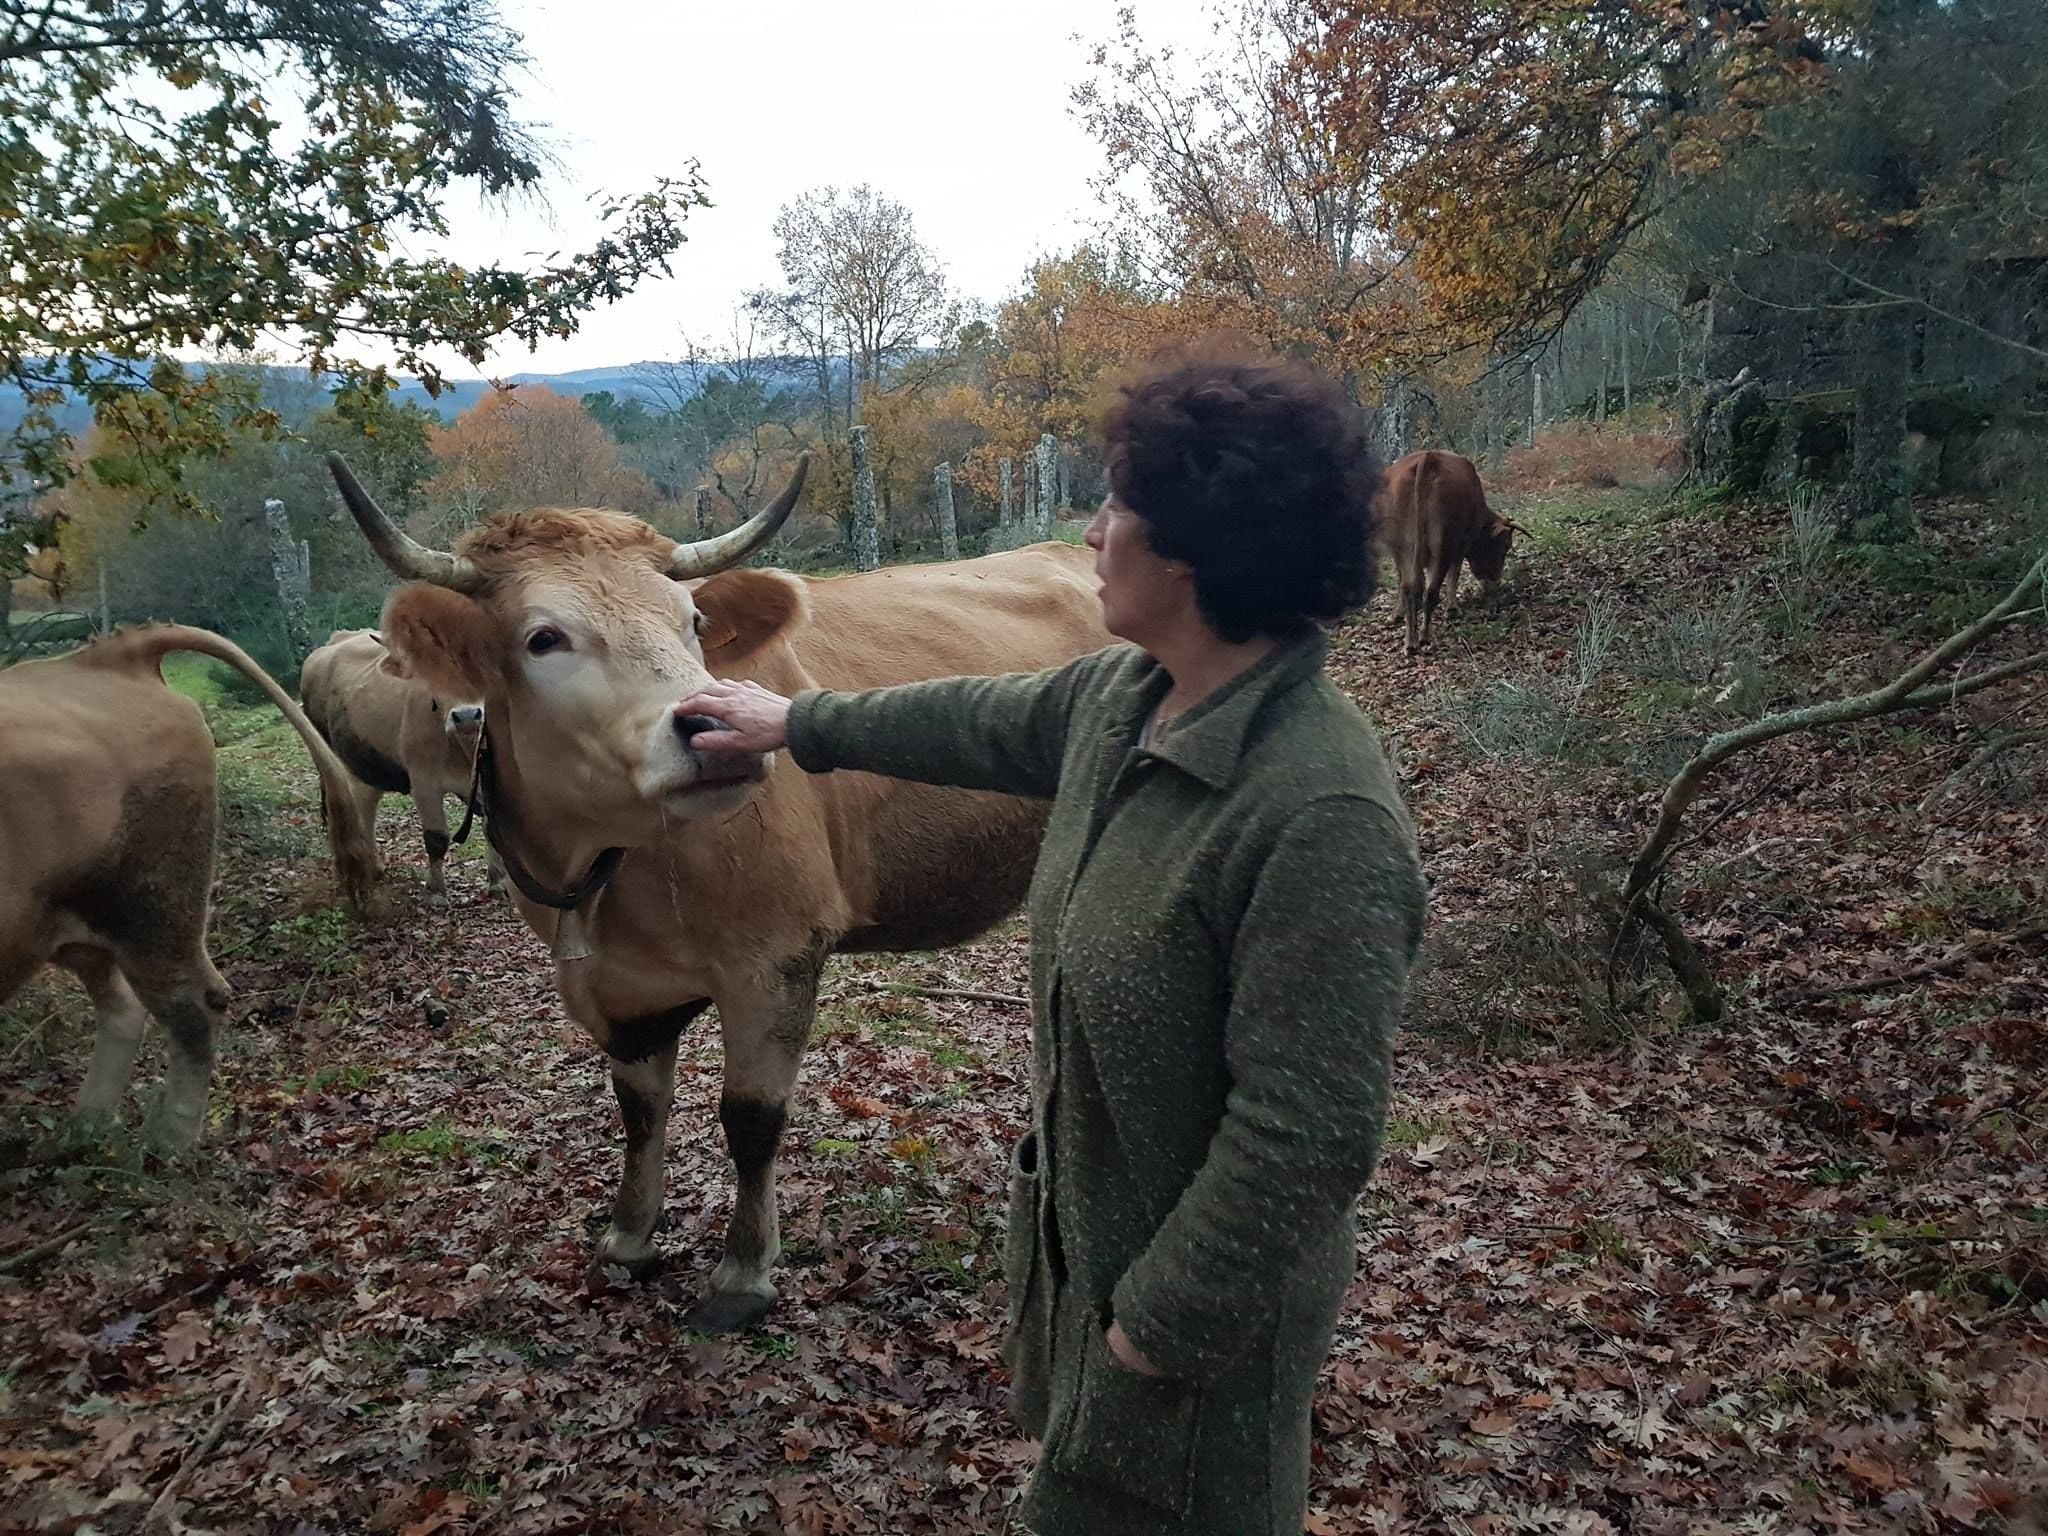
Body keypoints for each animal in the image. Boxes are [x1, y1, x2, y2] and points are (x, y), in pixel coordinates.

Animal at [0, 626, 376, 1144]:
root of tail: (112, 658)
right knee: (124, 1006)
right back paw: (86, 1134)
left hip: (152, 909)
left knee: (190, 1006)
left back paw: (165, 1144)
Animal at [300, 628, 502, 901]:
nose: (467, 716)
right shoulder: (424, 781)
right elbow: (436, 838)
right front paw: (437, 891)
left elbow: (493, 829)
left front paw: (497, 882)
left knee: (365, 805)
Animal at [324, 452, 1110, 1330]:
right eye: (543, 637)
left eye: (693, 622)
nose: (712, 728)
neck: (602, 870)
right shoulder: (617, 988)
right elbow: (638, 1108)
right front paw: (629, 1235)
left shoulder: (776, 958)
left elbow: (751, 1118)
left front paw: (742, 1270)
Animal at [1374, 449, 1525, 656]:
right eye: (1504, 547)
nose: (1495, 578)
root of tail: (1428, 458)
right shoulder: (1462, 544)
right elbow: (1455, 573)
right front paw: (1452, 608)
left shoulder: (1397, 553)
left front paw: (1395, 614)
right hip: (1442, 546)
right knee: (1430, 591)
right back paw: (1425, 637)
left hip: (1406, 546)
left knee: (1409, 588)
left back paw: (1410, 642)